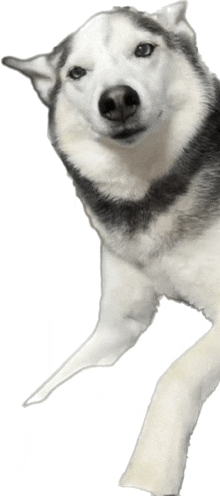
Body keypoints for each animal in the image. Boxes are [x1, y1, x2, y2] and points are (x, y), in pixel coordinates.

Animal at [2, 3, 220, 496]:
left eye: (144, 49)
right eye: (77, 73)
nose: (117, 99)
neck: (147, 191)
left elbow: (175, 376)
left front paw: (148, 471)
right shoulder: (118, 326)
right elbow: (64, 371)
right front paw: (34, 406)